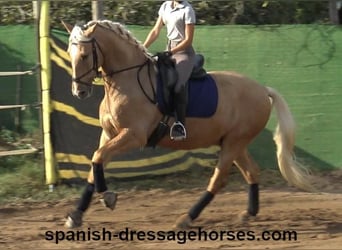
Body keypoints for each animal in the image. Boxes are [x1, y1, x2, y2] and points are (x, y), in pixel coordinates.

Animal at [61, 20, 312, 229]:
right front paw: (76, 215)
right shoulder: (109, 133)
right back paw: (248, 213)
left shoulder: (133, 135)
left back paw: (186, 218)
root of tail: (262, 90)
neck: (127, 80)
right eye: (70, 53)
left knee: (218, 180)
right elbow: (95, 163)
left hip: (234, 143)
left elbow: (98, 157)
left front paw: (108, 197)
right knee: (252, 172)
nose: (79, 91)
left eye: (84, 55)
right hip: (234, 143)